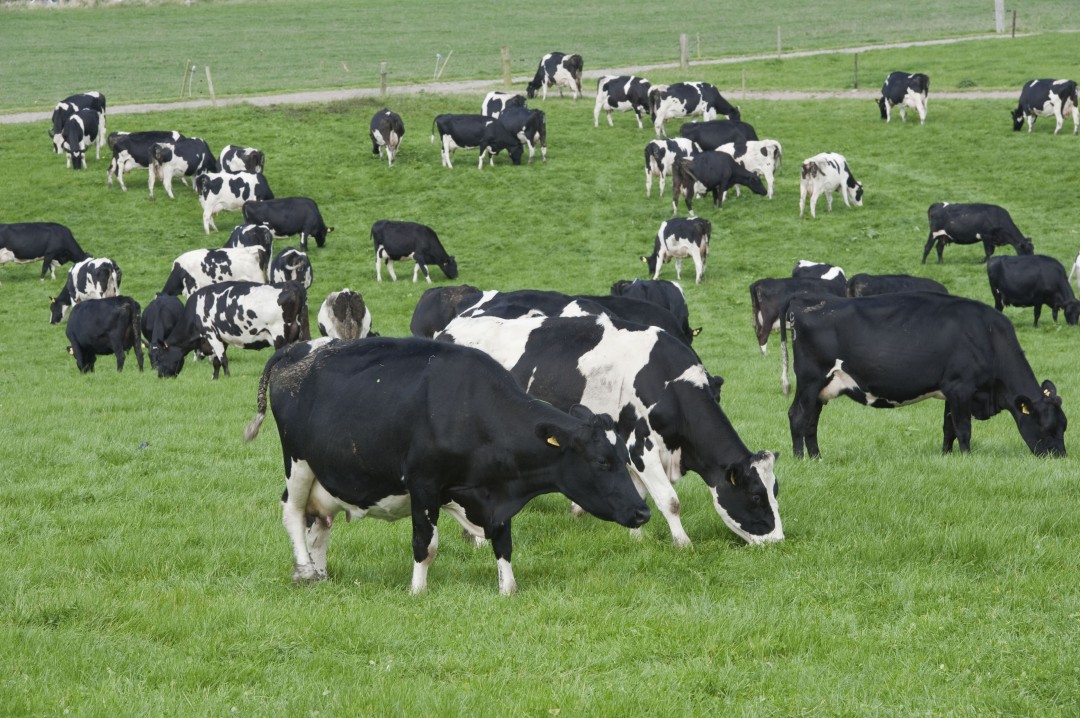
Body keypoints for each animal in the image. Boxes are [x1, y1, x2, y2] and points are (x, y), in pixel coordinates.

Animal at [155, 281, 309, 379]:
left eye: (160, 357)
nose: (160, 376)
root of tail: (291, 284)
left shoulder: (211, 333)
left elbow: (223, 359)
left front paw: (227, 377)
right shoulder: (221, 338)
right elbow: (216, 361)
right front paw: (215, 378)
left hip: (280, 335)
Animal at [243, 337, 649, 593]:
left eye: (624, 457)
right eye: (602, 462)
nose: (643, 512)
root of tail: (296, 348)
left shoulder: (495, 493)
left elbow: (503, 543)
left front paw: (508, 589)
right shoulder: (424, 483)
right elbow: (426, 544)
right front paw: (417, 590)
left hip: (328, 474)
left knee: (319, 525)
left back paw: (321, 572)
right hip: (298, 463)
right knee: (292, 513)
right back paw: (305, 571)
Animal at [438, 312, 783, 547]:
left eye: (775, 490)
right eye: (755, 496)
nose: (778, 540)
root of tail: (450, 328)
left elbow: (638, 494)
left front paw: (637, 537)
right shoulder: (639, 444)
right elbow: (669, 500)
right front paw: (683, 544)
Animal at [780, 292, 1067, 457]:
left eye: (1064, 425)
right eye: (1047, 428)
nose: (1060, 457)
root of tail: (802, 301)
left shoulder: (952, 390)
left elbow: (949, 428)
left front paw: (946, 456)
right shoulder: (961, 387)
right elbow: (964, 429)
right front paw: (967, 458)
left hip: (822, 388)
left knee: (811, 422)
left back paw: (817, 458)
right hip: (810, 380)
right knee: (797, 416)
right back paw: (799, 458)